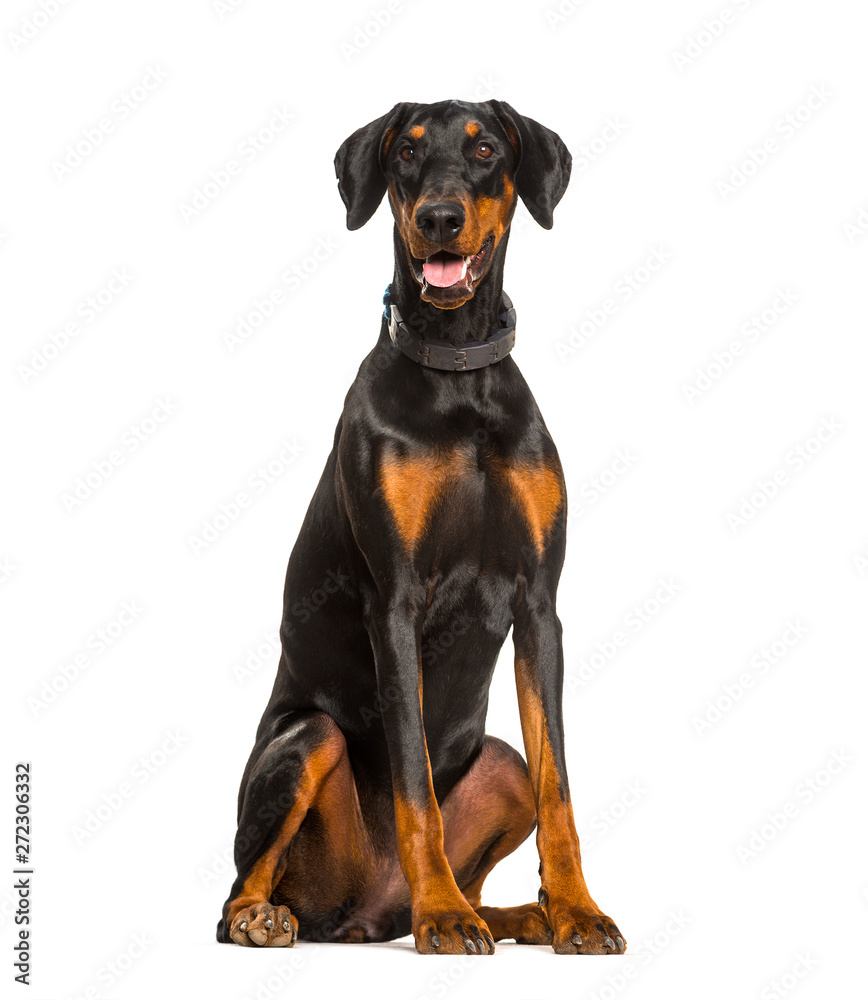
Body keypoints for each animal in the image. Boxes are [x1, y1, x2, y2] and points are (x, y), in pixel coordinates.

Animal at [216, 99, 624, 952]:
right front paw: (443, 915)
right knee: (237, 886)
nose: (439, 216)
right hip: (308, 739)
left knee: (508, 801)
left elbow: (560, 788)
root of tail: (363, 914)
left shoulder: (539, 603)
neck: (458, 375)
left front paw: (579, 911)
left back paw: (519, 914)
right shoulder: (395, 603)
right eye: (405, 153)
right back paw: (289, 915)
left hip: (497, 762)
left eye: (485, 148)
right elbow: (414, 783)